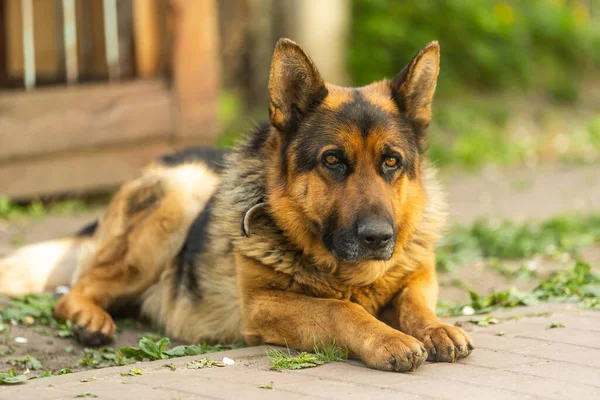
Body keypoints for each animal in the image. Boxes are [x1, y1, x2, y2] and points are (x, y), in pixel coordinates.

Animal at [1, 39, 474, 372]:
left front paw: (437, 327)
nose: (378, 238)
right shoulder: (265, 306)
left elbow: (413, 301)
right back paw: (89, 320)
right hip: (179, 196)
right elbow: (341, 309)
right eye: (333, 161)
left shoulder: (420, 275)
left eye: (391, 162)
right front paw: (388, 338)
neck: (349, 274)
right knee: (72, 292)